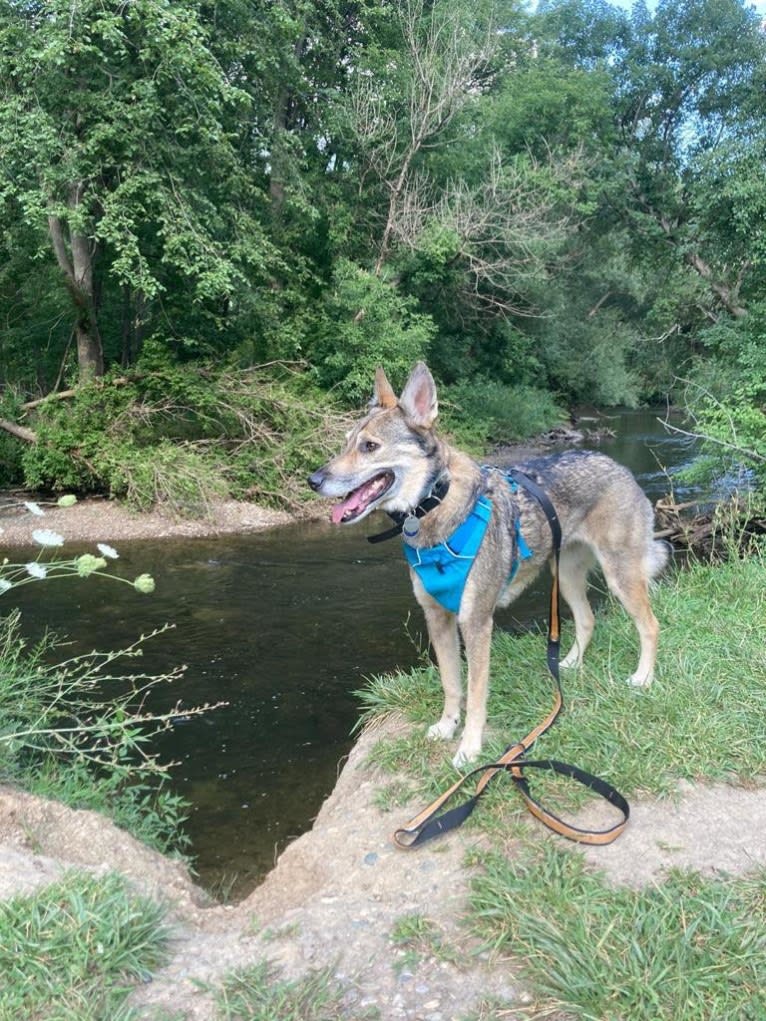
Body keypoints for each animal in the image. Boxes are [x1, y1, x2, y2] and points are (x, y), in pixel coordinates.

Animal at [308, 363, 669, 767]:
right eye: (345, 442)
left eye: (369, 446)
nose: (313, 480)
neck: (434, 508)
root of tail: (618, 466)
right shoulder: (438, 620)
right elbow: (451, 684)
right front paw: (447, 726)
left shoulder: (477, 623)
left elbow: (476, 695)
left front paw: (469, 748)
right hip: (566, 577)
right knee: (588, 619)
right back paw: (569, 665)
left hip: (620, 577)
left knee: (650, 626)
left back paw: (643, 678)